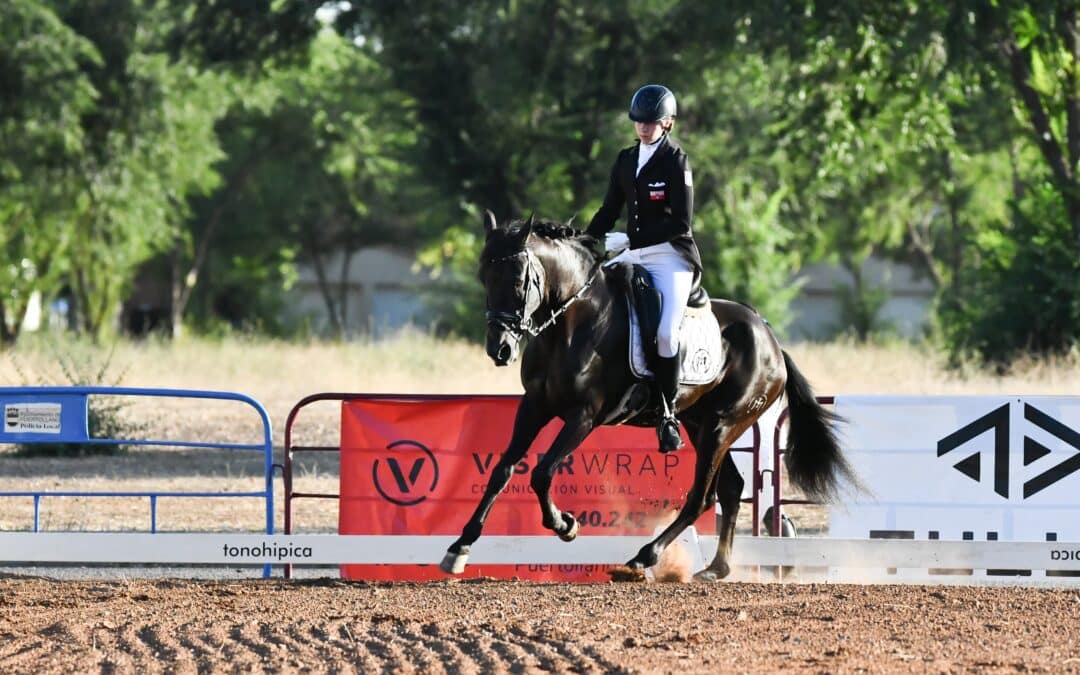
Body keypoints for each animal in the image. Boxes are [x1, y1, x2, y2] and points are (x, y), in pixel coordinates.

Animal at [434, 211, 855, 578]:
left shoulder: (584, 416)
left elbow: (541, 472)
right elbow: (503, 470)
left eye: (520, 279)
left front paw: (565, 525)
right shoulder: (535, 406)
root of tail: (770, 338)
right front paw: (459, 548)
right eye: (484, 277)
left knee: (702, 497)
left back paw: (644, 557)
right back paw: (715, 569)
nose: (500, 349)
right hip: (699, 422)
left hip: (723, 425)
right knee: (731, 489)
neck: (571, 322)